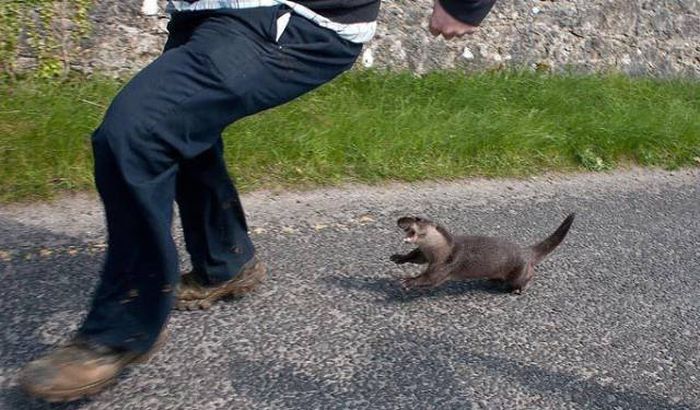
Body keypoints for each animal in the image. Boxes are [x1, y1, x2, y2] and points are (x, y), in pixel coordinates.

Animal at [388, 213, 576, 294]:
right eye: (407, 215)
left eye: (417, 219)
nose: (399, 220)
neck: (440, 250)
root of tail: (526, 251)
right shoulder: (425, 254)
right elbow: (416, 257)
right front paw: (398, 257)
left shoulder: (446, 264)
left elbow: (430, 279)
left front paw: (409, 281)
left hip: (519, 270)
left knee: (527, 276)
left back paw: (519, 289)